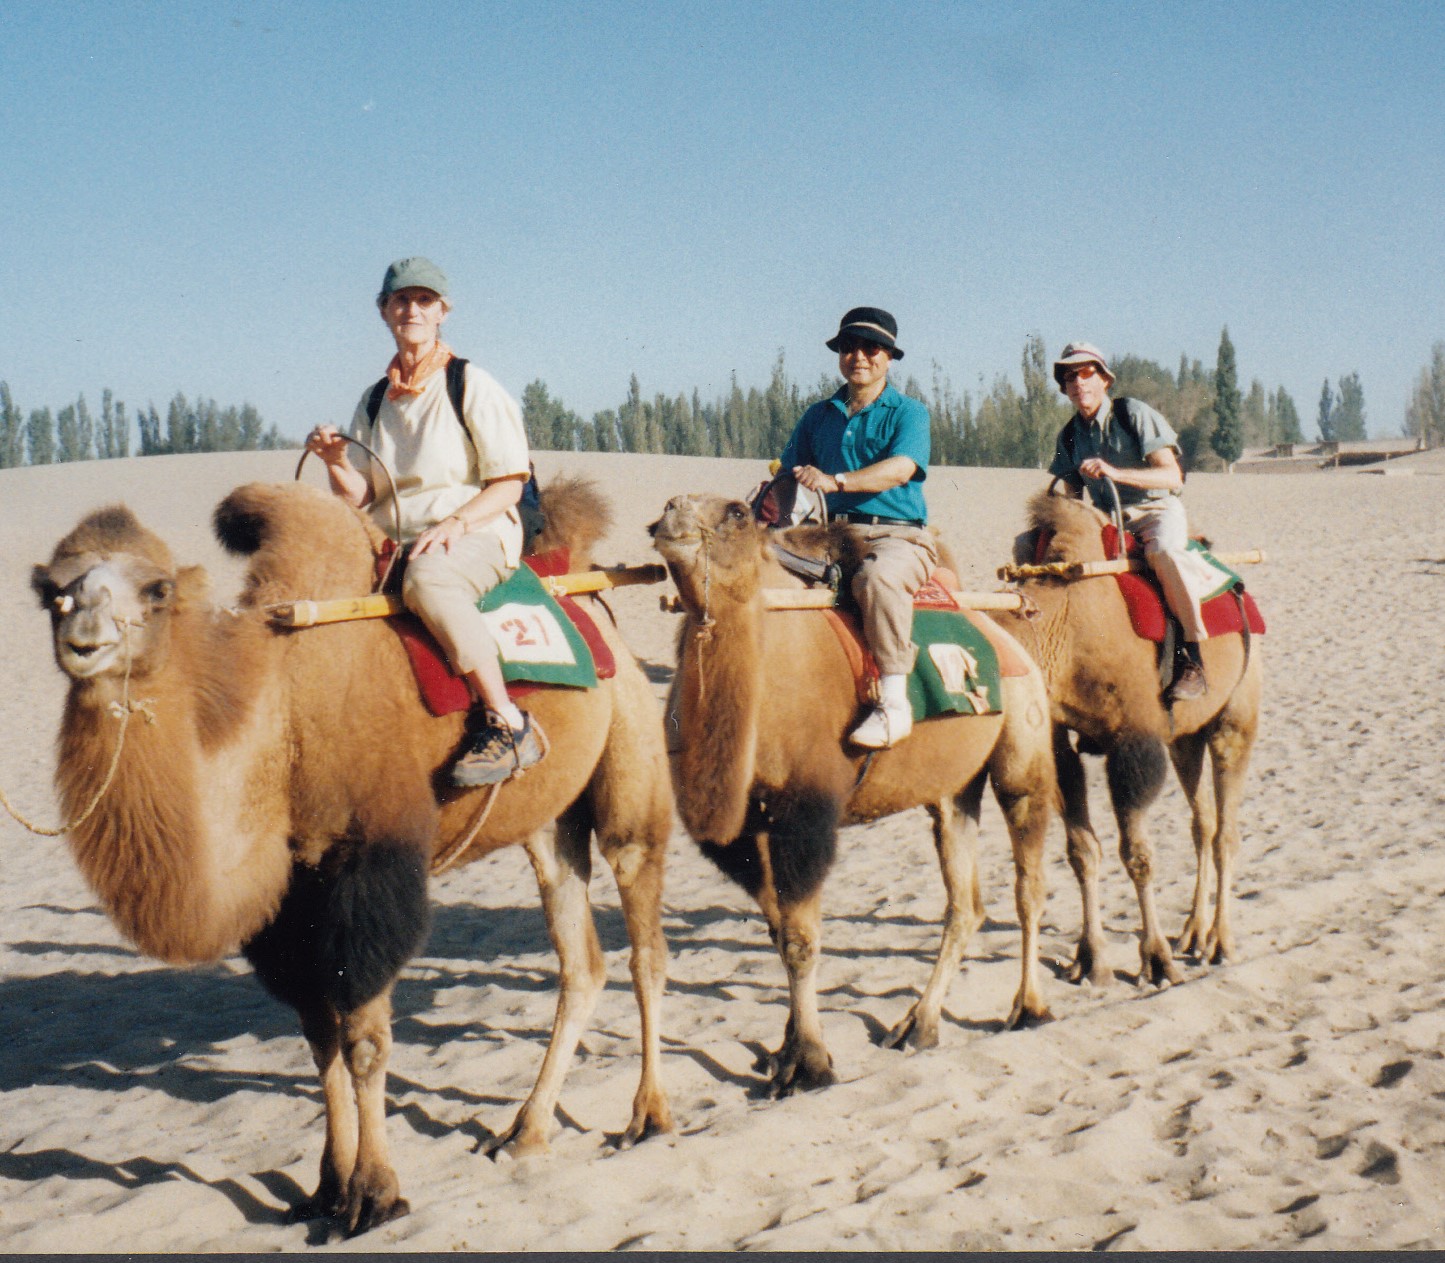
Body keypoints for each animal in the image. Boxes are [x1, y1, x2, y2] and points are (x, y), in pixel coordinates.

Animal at [28, 476, 670, 1236]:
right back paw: (526, 1132)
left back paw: (648, 1114)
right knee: (581, 960)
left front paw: (374, 1194)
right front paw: (324, 1189)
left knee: (643, 934)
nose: (84, 641)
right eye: (54, 592)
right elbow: (318, 1036)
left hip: (630, 745)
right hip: (549, 820)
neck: (283, 720)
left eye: (156, 590)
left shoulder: (370, 869)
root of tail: (585, 590)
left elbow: (365, 1039)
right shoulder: (292, 897)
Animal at [650, 491, 1057, 1092]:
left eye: (736, 513)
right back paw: (919, 1024)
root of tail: (1009, 634)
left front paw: (810, 1063)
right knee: (965, 903)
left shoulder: (806, 816)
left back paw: (1028, 1007)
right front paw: (784, 1050)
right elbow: (778, 932)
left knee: (1028, 886)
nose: (671, 512)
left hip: (1022, 753)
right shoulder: (744, 832)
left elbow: (800, 941)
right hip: (952, 791)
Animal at [994, 488, 1265, 988]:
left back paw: (1220, 943)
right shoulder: (1061, 744)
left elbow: (1137, 854)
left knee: (1227, 831)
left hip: (1237, 714)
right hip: (1183, 737)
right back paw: (1193, 931)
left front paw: (1156, 960)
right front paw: (1090, 959)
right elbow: (1082, 852)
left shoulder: (1132, 741)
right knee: (1204, 822)